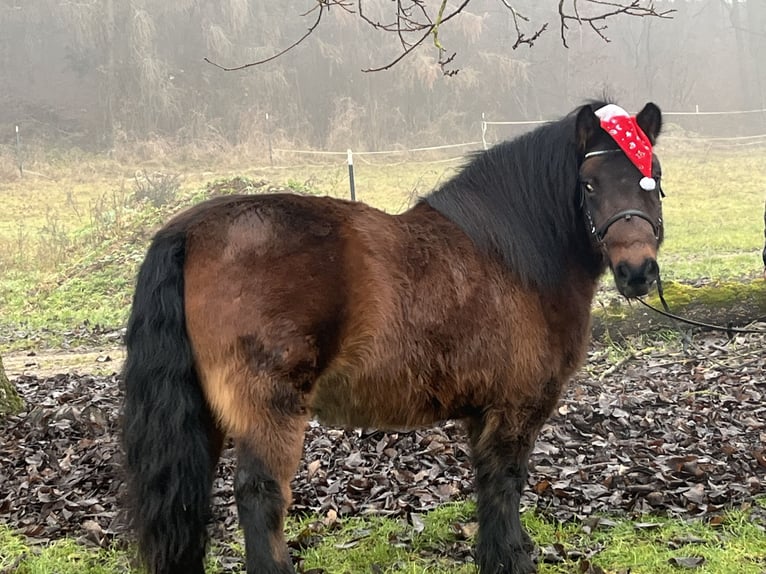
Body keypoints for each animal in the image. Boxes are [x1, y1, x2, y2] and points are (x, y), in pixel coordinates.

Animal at [121, 100, 665, 574]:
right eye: (589, 184)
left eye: (654, 178)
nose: (638, 271)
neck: (513, 258)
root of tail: (192, 228)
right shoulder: (516, 408)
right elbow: (506, 485)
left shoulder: (484, 412)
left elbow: (488, 486)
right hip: (268, 409)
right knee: (260, 496)